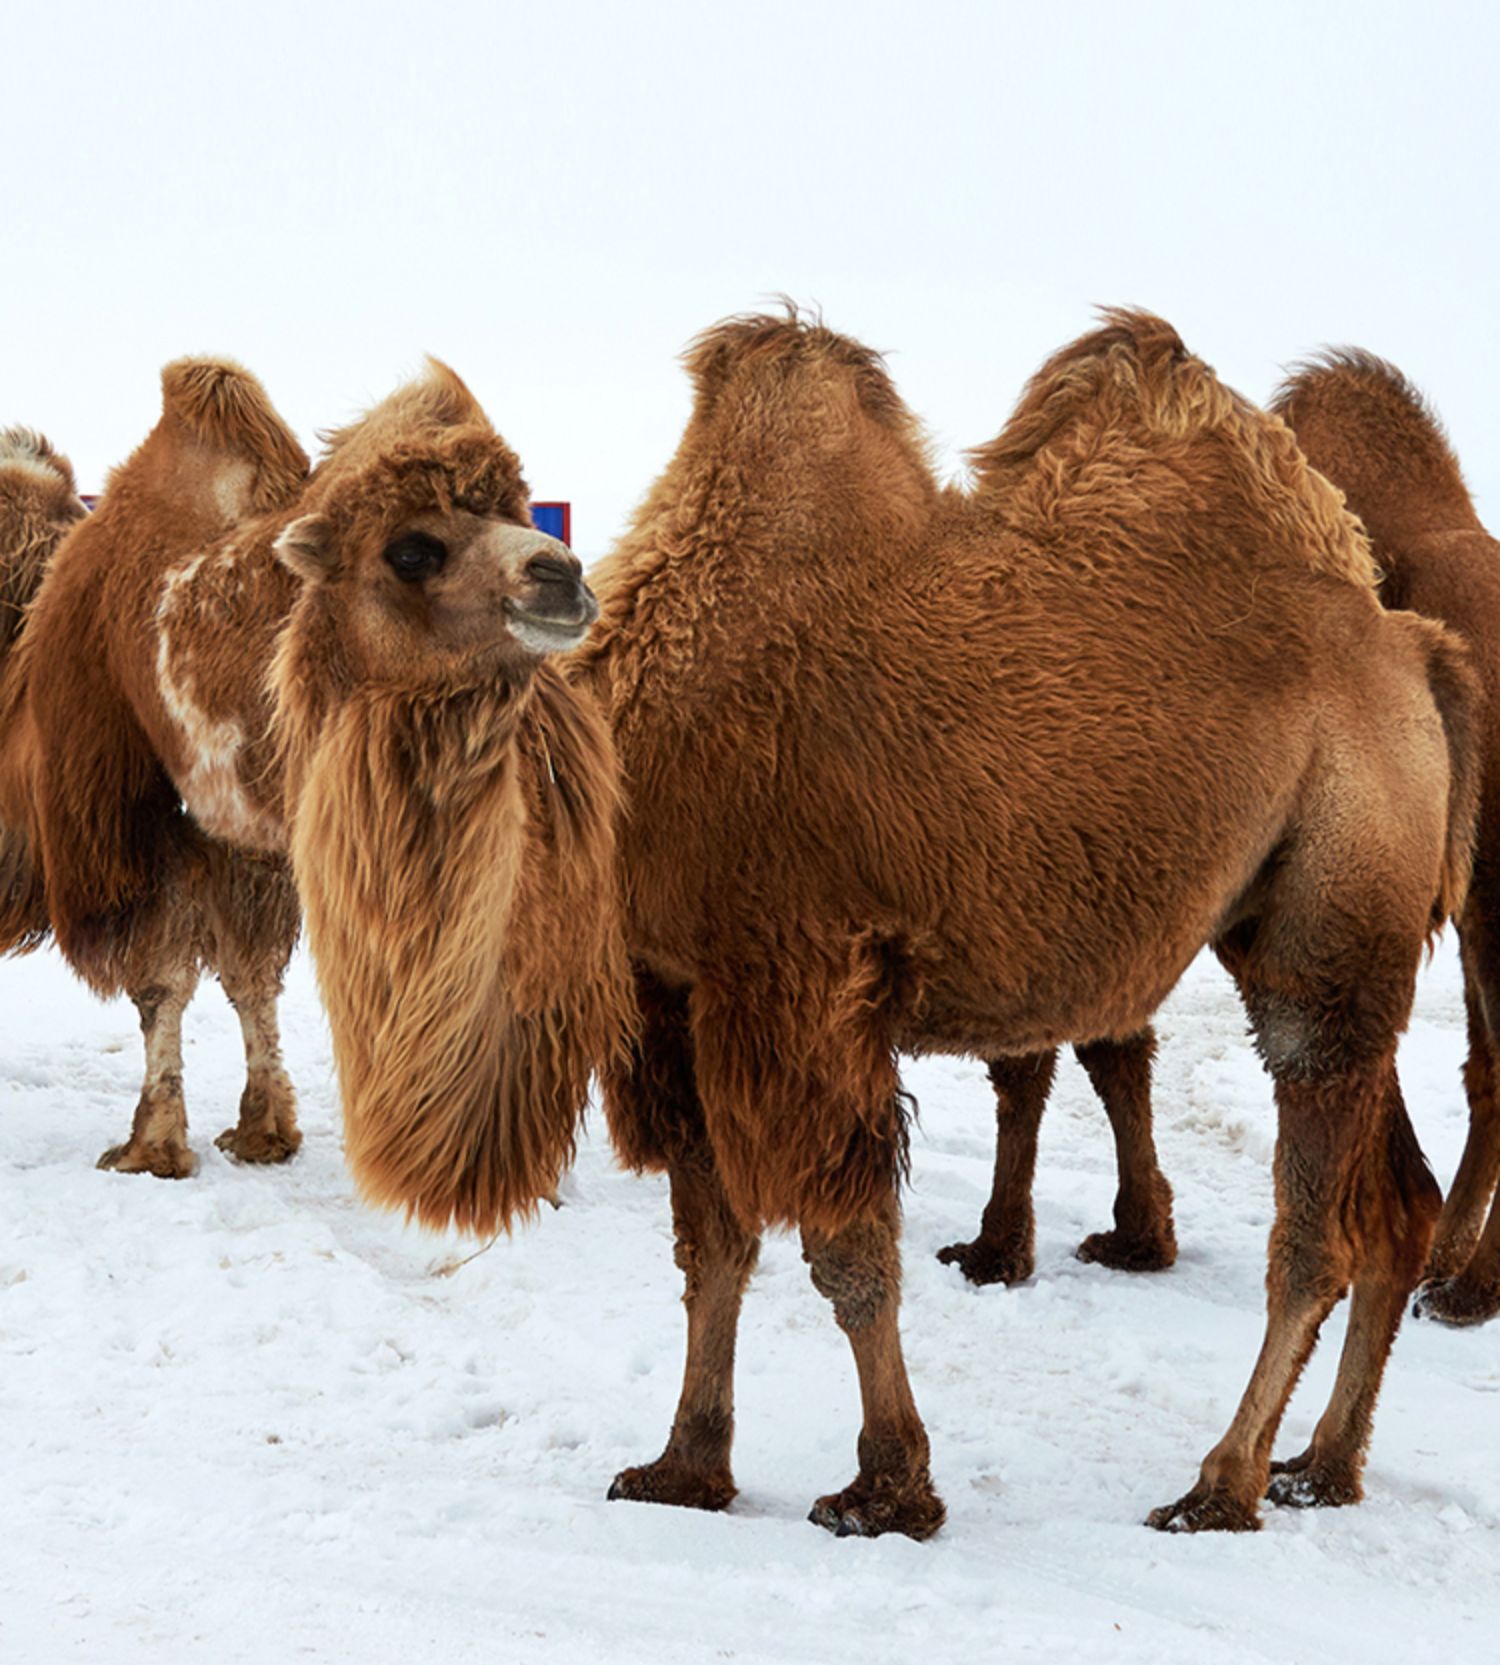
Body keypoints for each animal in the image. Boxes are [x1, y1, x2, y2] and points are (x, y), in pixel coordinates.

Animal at [0, 361, 619, 1225]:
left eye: (518, 517)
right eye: (412, 549)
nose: (562, 575)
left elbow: (221, 976)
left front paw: (192, 1140)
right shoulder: (180, 827)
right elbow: (191, 979)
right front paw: (185, 1143)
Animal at [945, 347, 1498, 1325]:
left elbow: (1042, 1057)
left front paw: (1001, 1249)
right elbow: (1107, 1047)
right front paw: (1136, 1235)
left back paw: (1461, 1285)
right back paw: (1435, 1268)